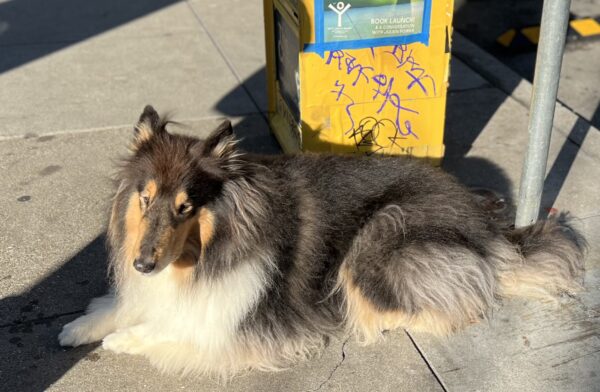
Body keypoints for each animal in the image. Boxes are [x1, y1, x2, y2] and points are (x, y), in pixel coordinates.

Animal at [59, 105, 584, 378]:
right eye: (145, 198)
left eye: (186, 207)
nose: (143, 265)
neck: (205, 253)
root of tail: (485, 226)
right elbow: (123, 308)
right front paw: (77, 328)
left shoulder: (225, 325)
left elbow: (164, 328)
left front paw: (117, 339)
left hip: (380, 234)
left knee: (458, 304)